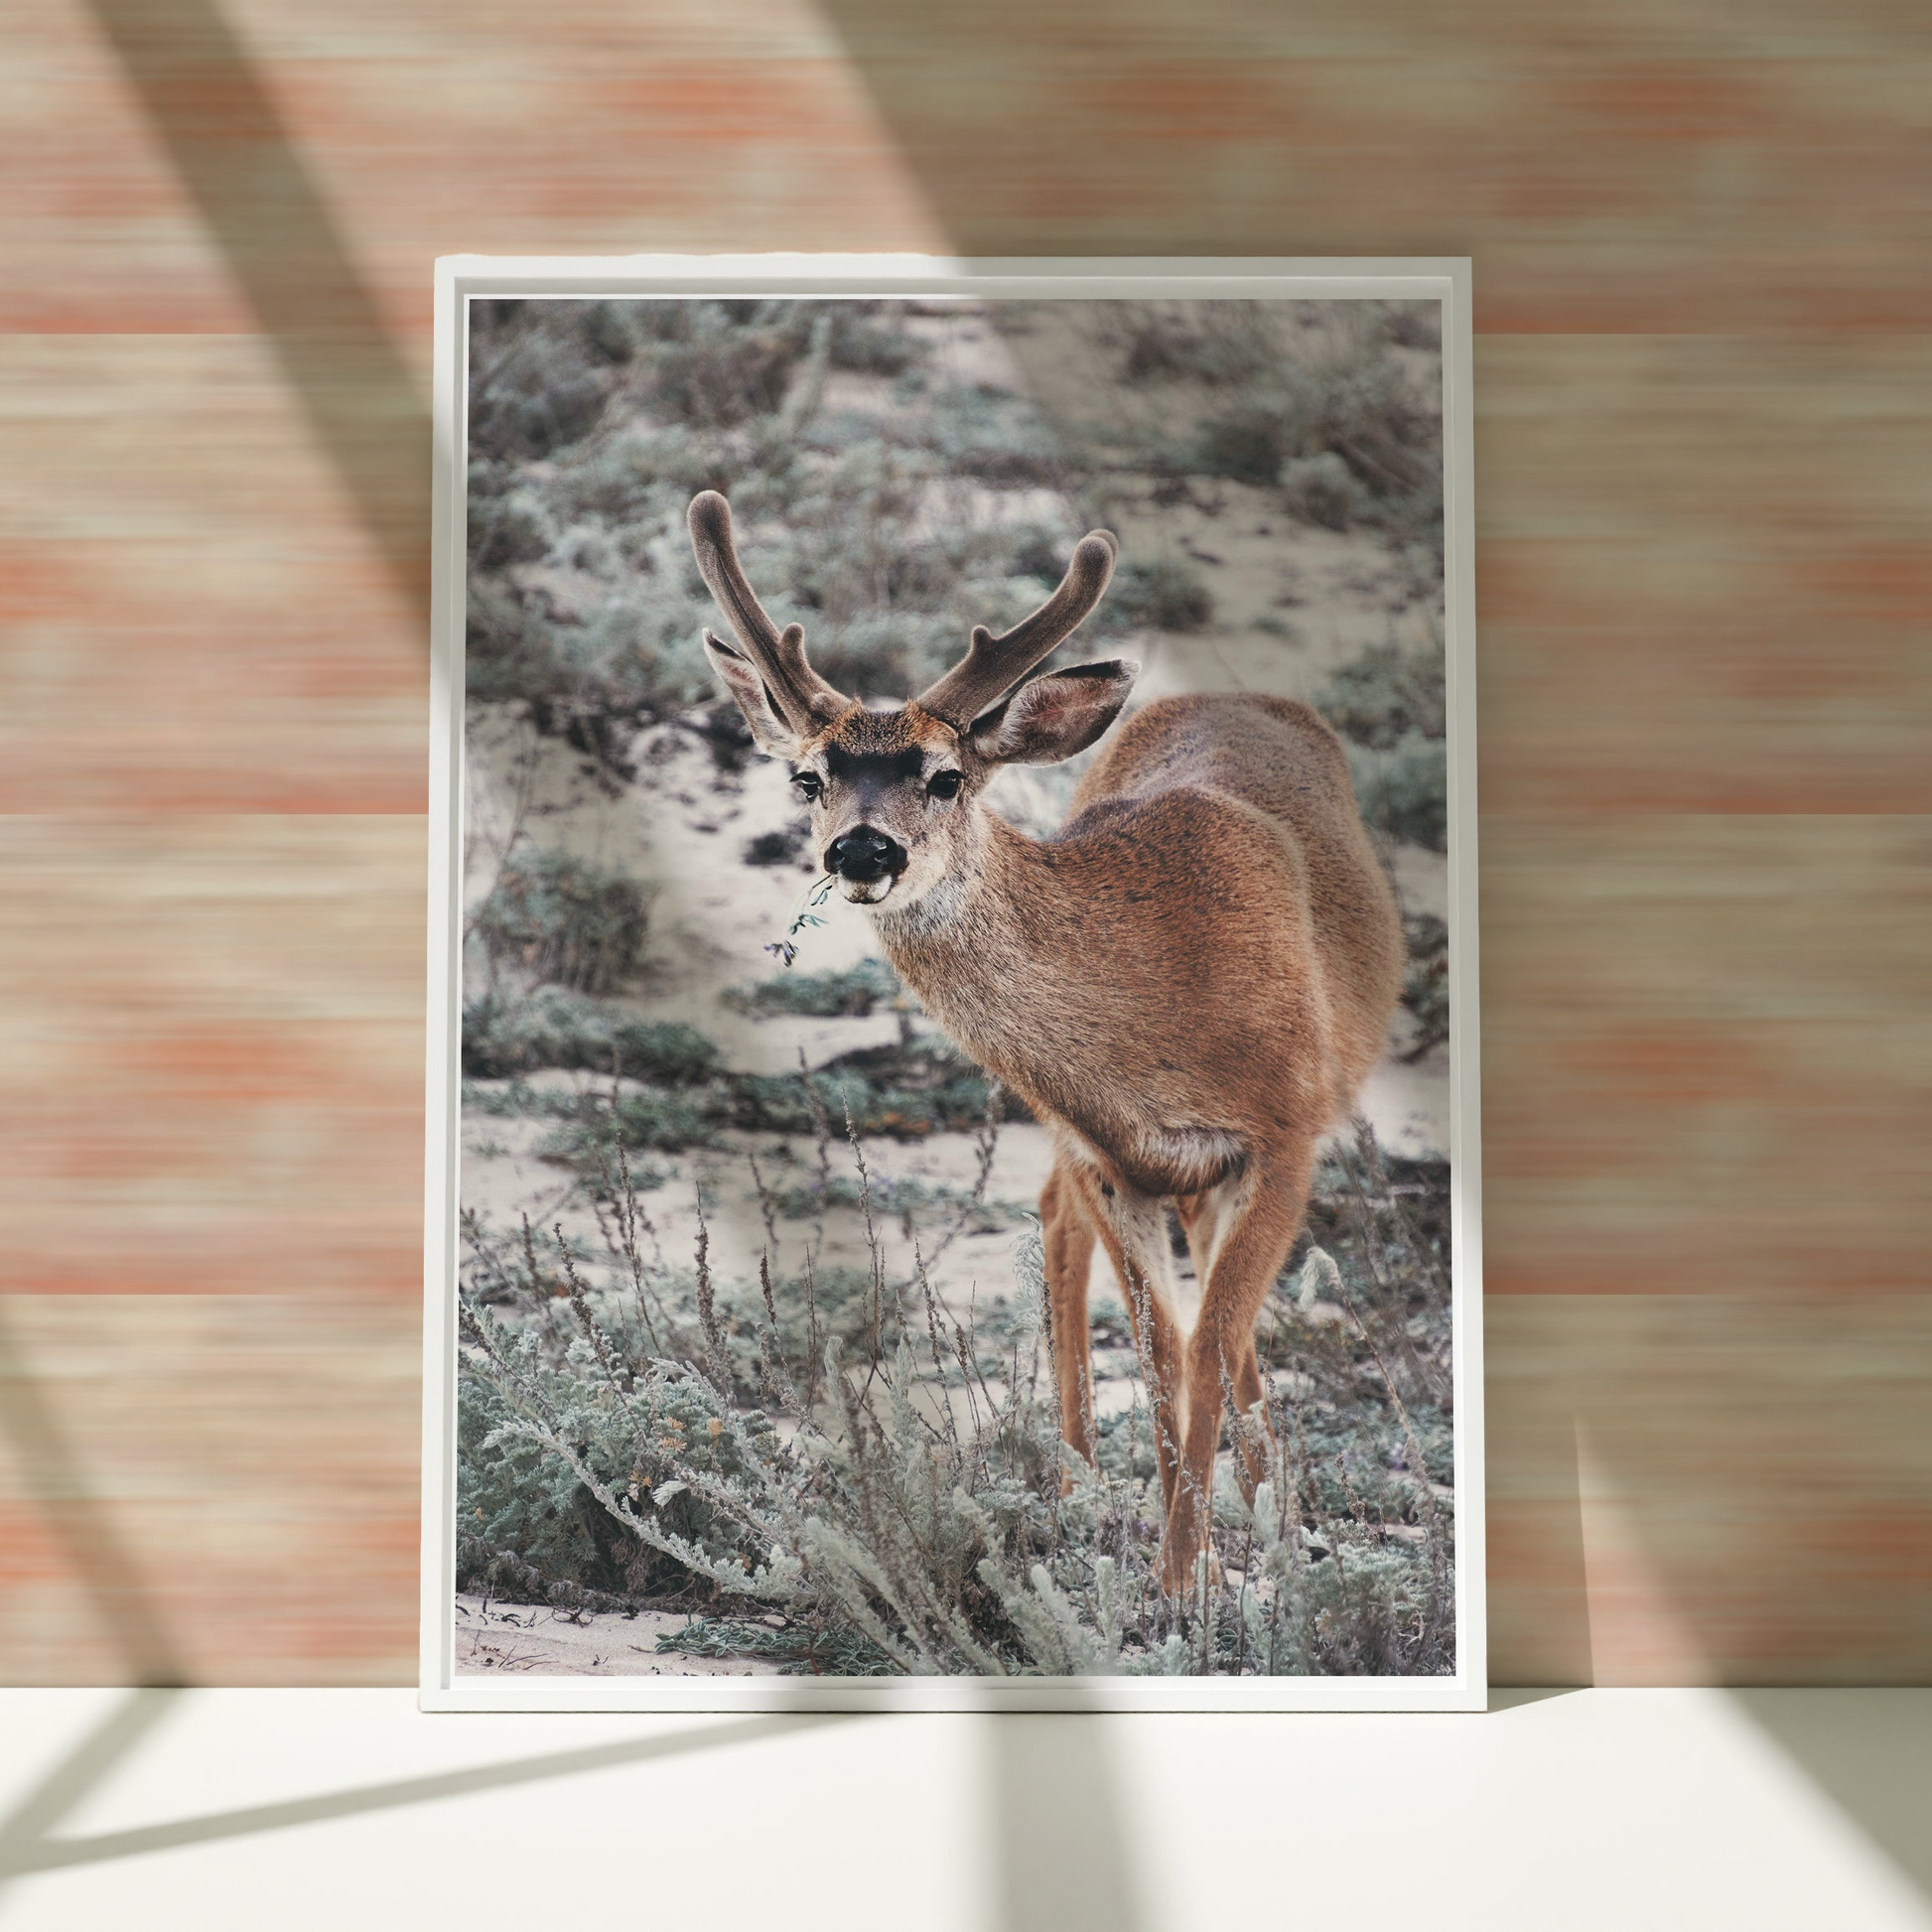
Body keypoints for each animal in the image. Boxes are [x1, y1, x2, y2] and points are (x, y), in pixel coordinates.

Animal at [687, 490, 1398, 1591]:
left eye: (944, 777)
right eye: (807, 778)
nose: (861, 850)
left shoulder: (1286, 1130)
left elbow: (1203, 1344)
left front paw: (1195, 1575)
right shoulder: (1105, 1152)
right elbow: (1160, 1348)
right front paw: (1178, 1577)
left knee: (1211, 1320)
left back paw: (1269, 1506)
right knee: (1065, 1230)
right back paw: (1080, 1488)